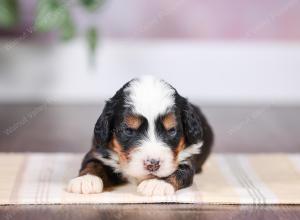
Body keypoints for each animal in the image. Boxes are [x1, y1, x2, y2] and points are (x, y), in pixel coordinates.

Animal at [68, 75, 213, 196]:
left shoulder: (188, 158)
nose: (152, 164)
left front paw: (157, 184)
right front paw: (86, 180)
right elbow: (92, 163)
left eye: (171, 130)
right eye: (129, 130)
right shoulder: (97, 150)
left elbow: (181, 171)